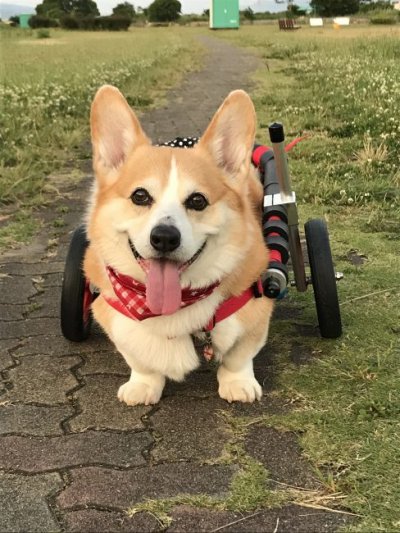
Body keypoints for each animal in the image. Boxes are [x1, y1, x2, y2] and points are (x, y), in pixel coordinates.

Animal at [83, 85, 274, 406]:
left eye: (197, 200)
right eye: (140, 196)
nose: (164, 237)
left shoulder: (255, 308)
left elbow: (240, 354)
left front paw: (238, 383)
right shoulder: (111, 312)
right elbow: (138, 360)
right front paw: (143, 384)